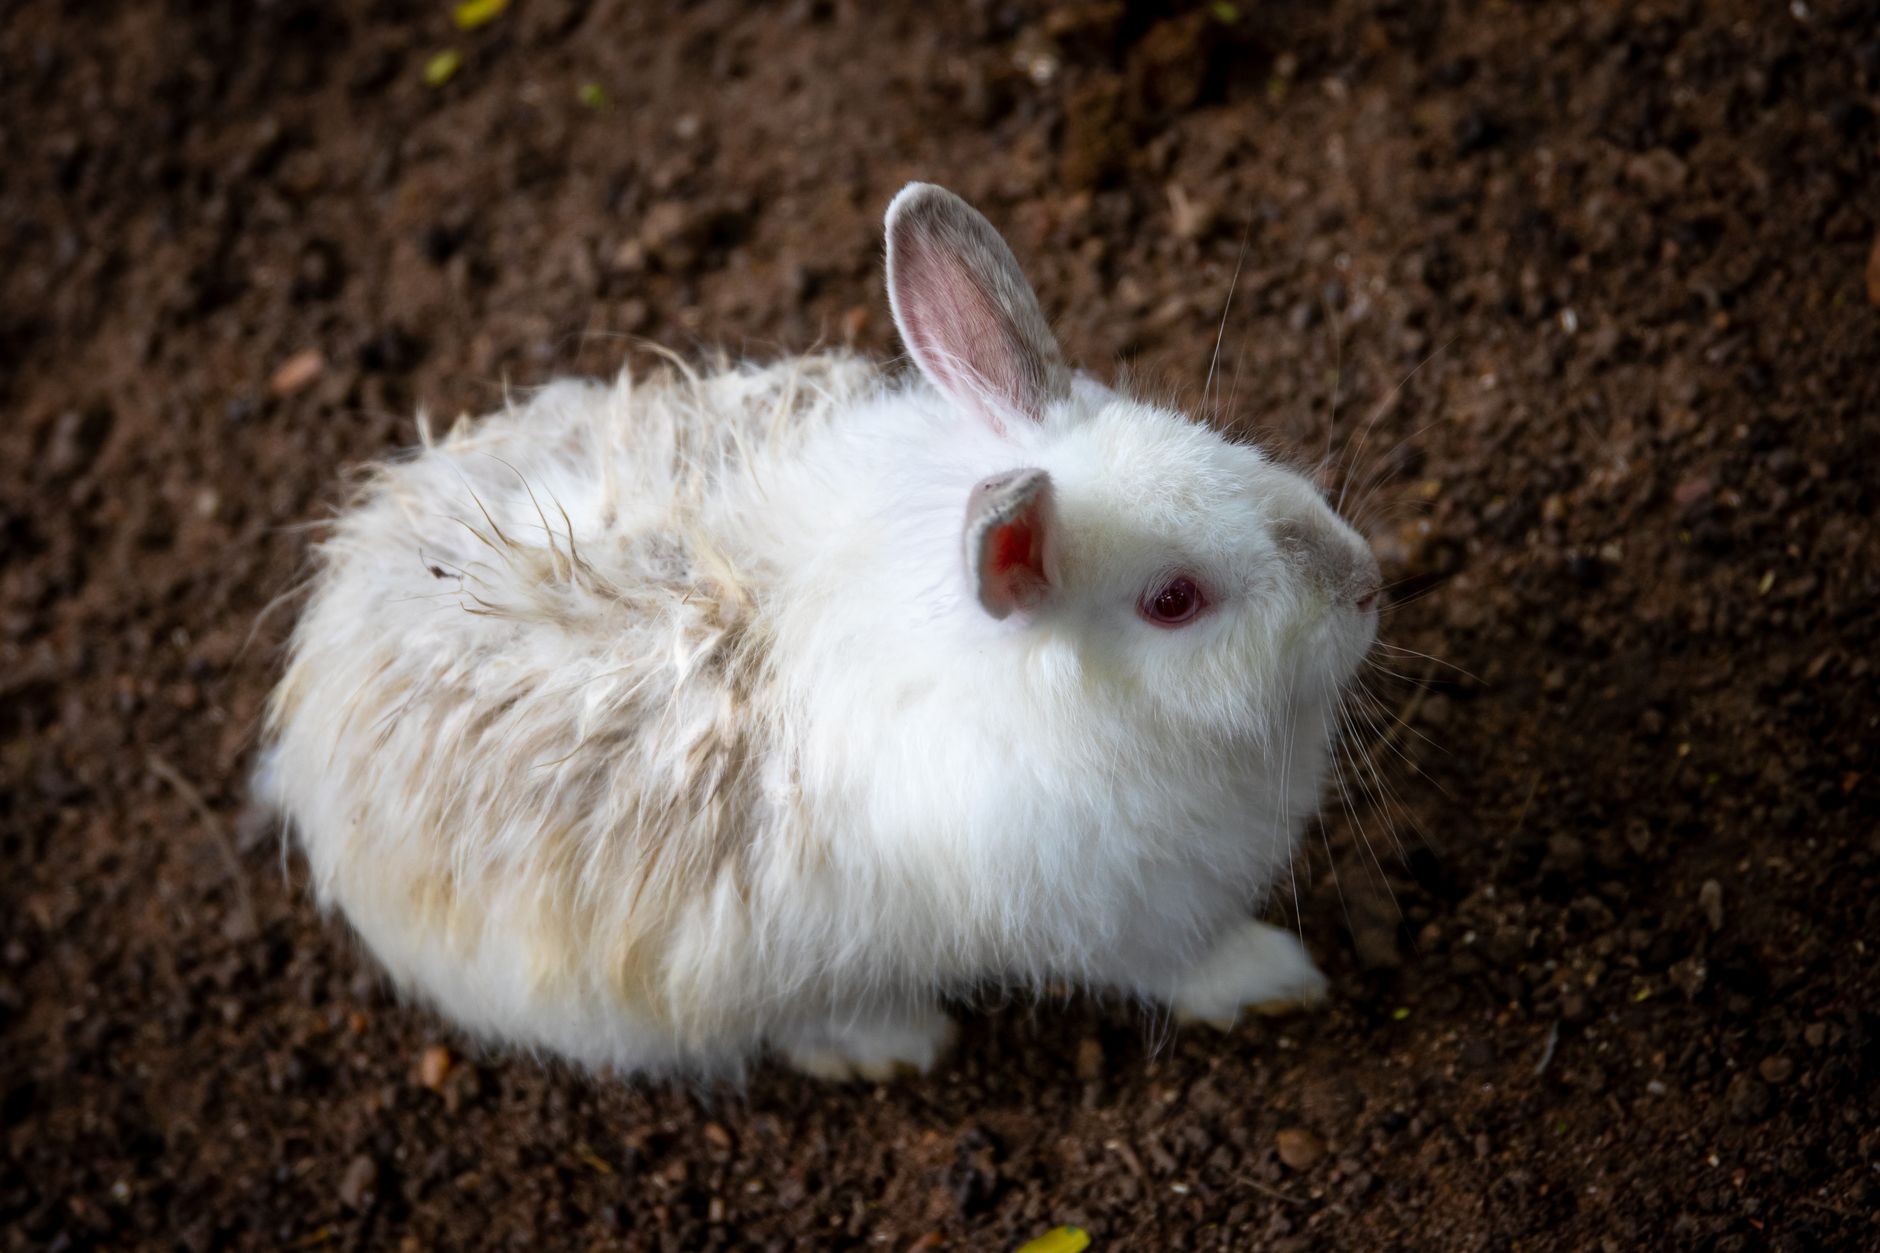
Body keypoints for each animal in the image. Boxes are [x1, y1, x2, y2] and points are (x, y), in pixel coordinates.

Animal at [256, 182, 1381, 1081]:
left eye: (1219, 444)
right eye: (1173, 601)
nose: (1365, 581)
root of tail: (312, 726)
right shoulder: (1122, 915)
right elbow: (1184, 965)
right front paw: (1278, 975)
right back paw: (892, 1041)